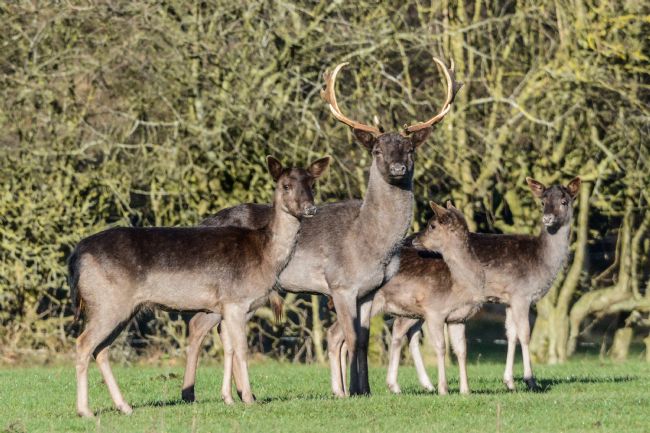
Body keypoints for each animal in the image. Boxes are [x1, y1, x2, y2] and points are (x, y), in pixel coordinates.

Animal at [67, 155, 330, 417]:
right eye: (285, 185)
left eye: (312, 184)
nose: (310, 208)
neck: (265, 255)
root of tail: (77, 255)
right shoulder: (236, 300)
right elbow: (242, 348)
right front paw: (248, 399)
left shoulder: (223, 306)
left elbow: (228, 348)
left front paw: (228, 398)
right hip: (107, 302)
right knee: (83, 343)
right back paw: (85, 410)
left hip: (122, 308)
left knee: (101, 349)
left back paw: (124, 406)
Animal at [179, 57, 463, 400]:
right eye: (376, 151)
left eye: (410, 149)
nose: (397, 168)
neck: (370, 243)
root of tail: (202, 223)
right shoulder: (340, 284)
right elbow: (351, 338)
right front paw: (352, 391)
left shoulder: (370, 291)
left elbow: (363, 340)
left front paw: (365, 389)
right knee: (197, 325)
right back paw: (191, 394)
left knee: (218, 328)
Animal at [327, 201, 486, 396]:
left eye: (433, 225)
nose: (415, 240)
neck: (459, 285)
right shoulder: (435, 311)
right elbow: (441, 347)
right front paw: (443, 389)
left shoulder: (459, 318)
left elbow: (462, 350)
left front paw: (465, 390)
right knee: (335, 334)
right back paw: (340, 391)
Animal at [355, 176, 582, 394]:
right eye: (542, 201)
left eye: (564, 201)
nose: (548, 218)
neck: (541, 262)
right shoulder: (520, 294)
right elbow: (524, 335)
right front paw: (530, 381)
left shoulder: (508, 299)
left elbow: (511, 334)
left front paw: (509, 382)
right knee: (401, 329)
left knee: (407, 332)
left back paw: (419, 385)